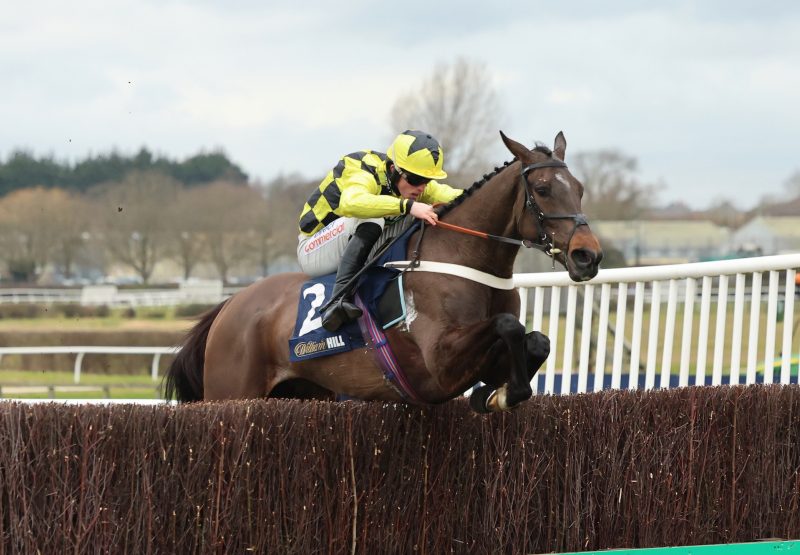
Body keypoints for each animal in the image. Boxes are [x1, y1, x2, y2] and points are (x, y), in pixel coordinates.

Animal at [166, 131, 604, 412]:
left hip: (301, 390)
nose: (589, 256)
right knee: (367, 224)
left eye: (580, 188)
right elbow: (508, 324)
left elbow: (537, 342)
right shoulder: (438, 366)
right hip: (230, 391)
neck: (463, 257)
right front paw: (504, 393)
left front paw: (499, 393)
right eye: (543, 189)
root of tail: (227, 307)